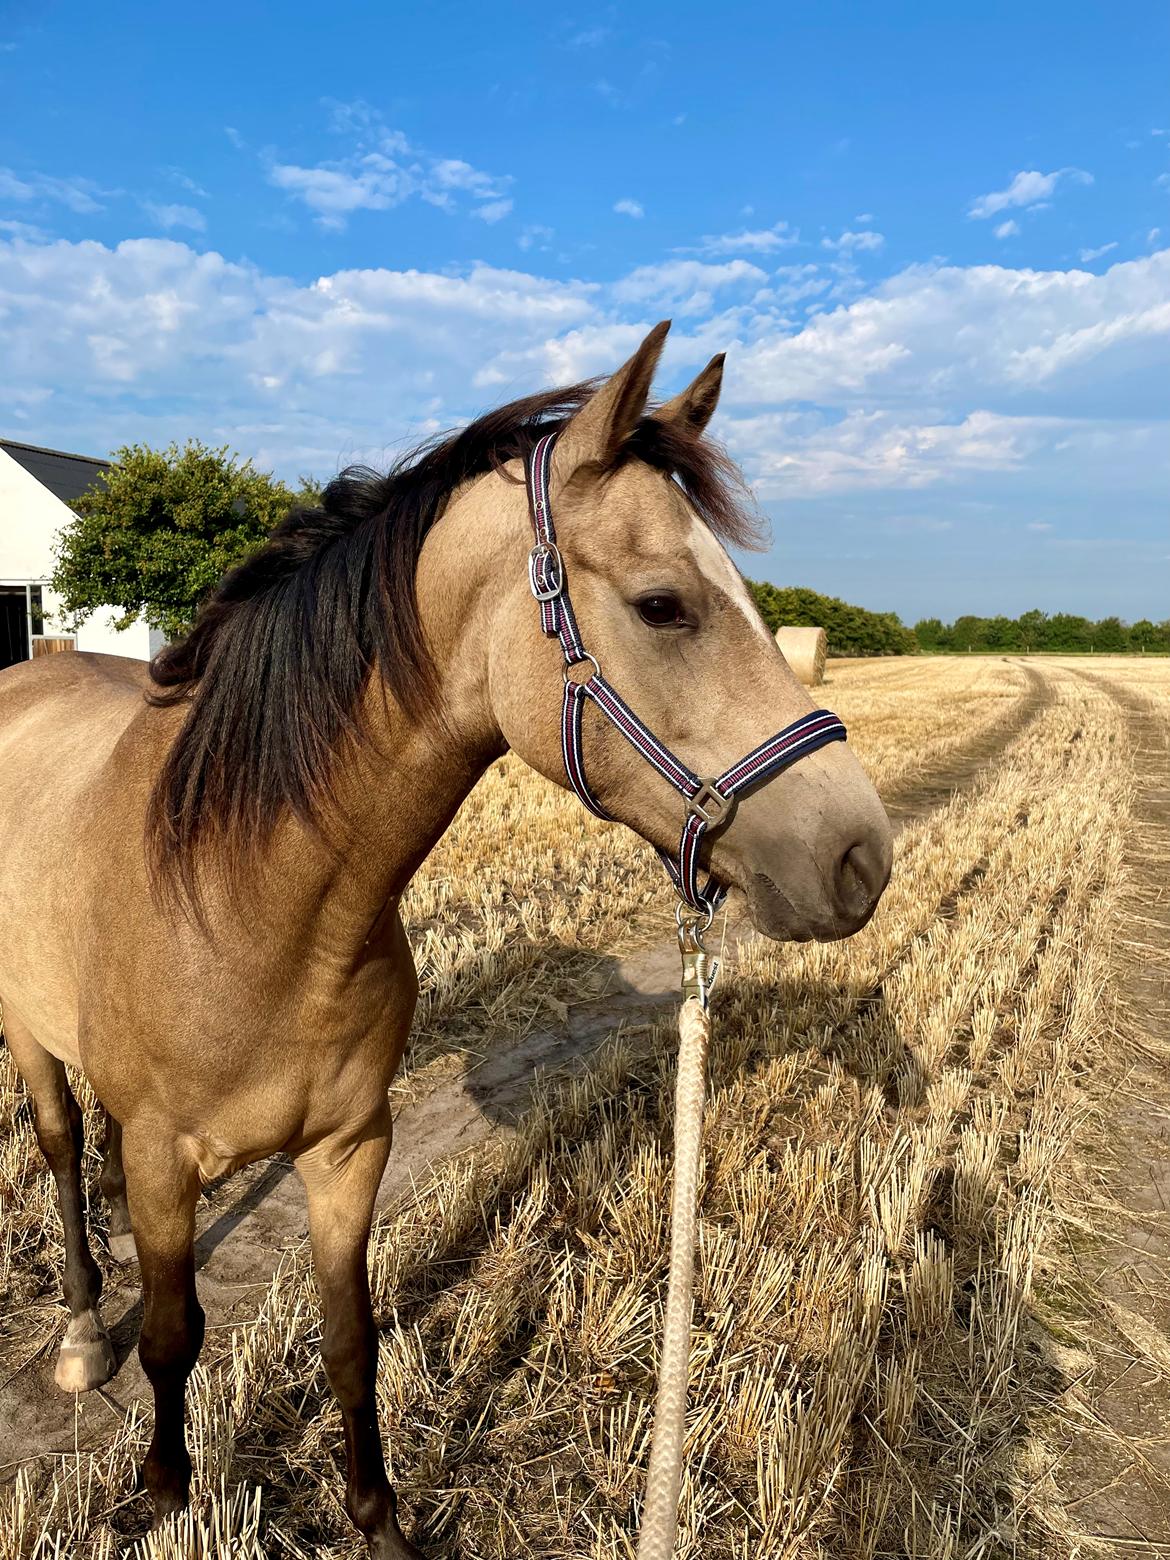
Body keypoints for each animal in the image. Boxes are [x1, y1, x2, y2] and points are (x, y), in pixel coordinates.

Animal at [0, 322, 892, 1553]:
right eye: (664, 605)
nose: (861, 856)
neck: (246, 902)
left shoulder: (348, 1151)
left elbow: (350, 1339)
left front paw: (377, 1518)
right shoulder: (162, 1159)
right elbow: (175, 1339)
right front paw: (170, 1495)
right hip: (25, 1035)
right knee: (55, 1147)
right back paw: (86, 1334)